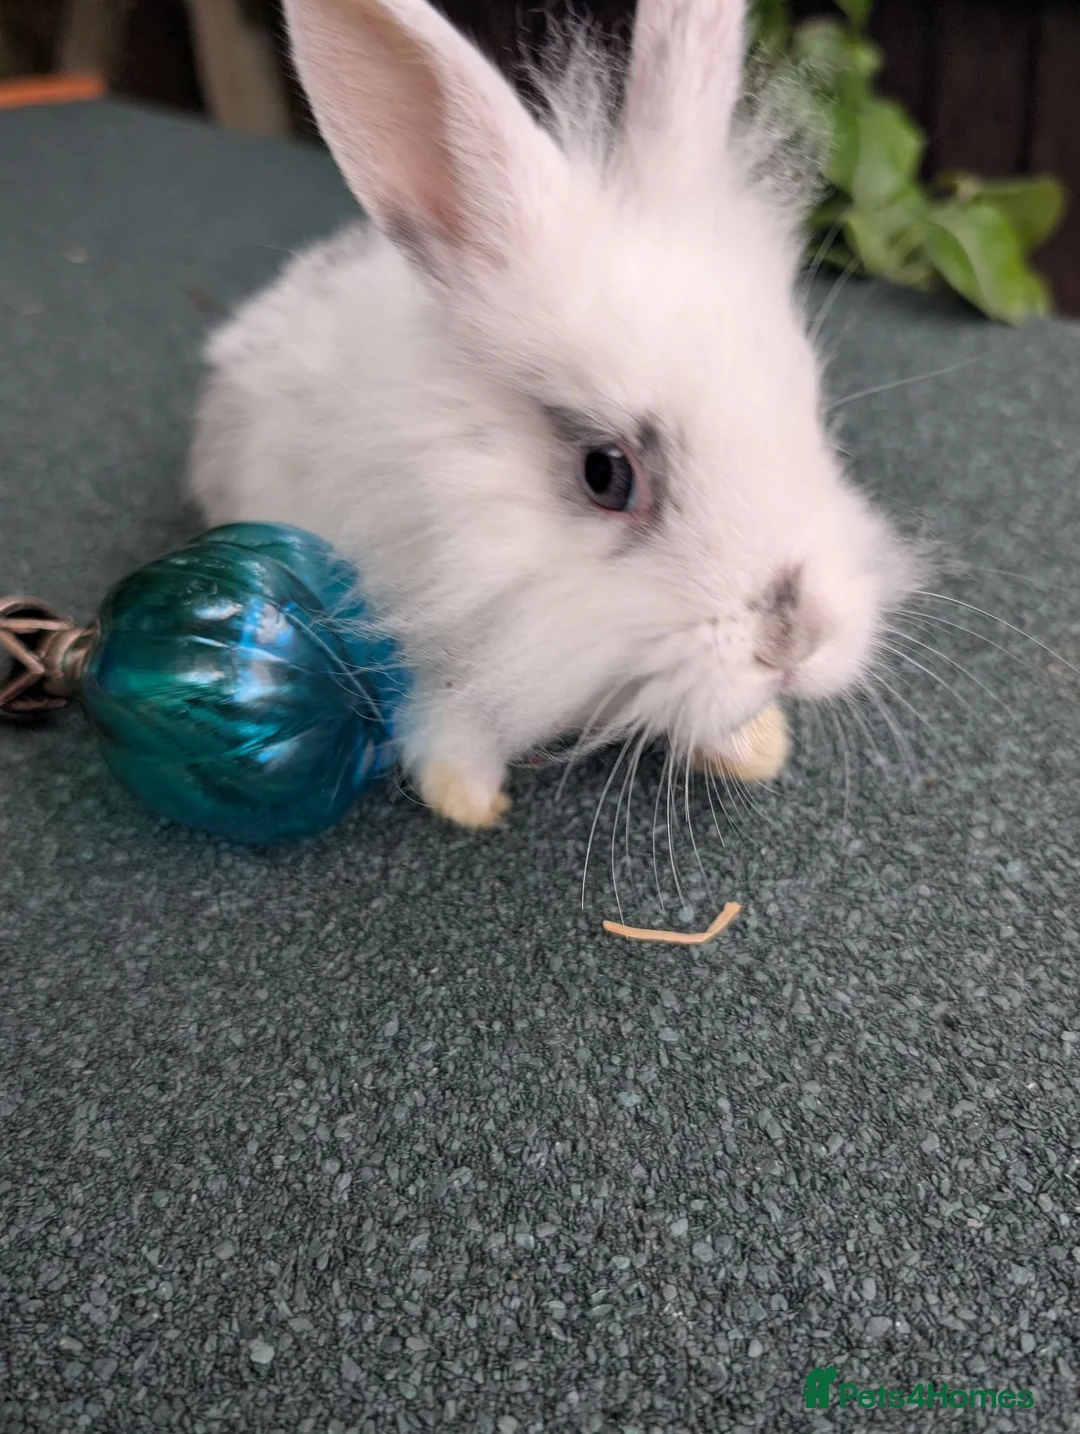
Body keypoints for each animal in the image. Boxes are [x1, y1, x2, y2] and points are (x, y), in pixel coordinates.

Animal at [190, 0, 919, 828]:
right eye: (605, 474)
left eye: (810, 414)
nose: (796, 642)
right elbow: (449, 718)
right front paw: (470, 800)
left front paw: (756, 749)